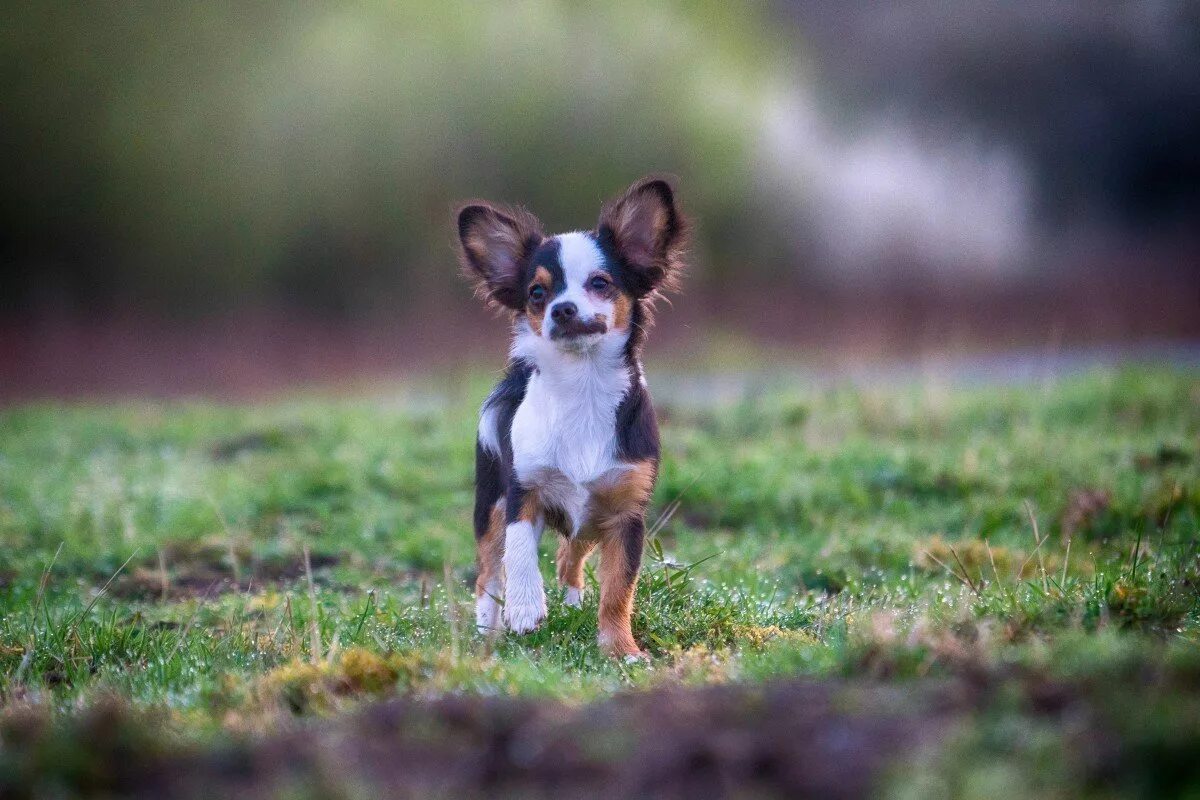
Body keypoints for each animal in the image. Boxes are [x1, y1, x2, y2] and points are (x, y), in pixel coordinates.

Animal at [456, 175, 686, 657]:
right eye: (536, 293)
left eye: (600, 283)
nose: (561, 308)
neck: (582, 386)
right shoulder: (522, 490)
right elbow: (520, 552)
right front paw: (525, 609)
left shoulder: (625, 516)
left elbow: (619, 590)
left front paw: (620, 650)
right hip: (490, 504)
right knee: (489, 572)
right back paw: (488, 630)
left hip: (591, 517)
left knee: (570, 555)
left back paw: (574, 602)